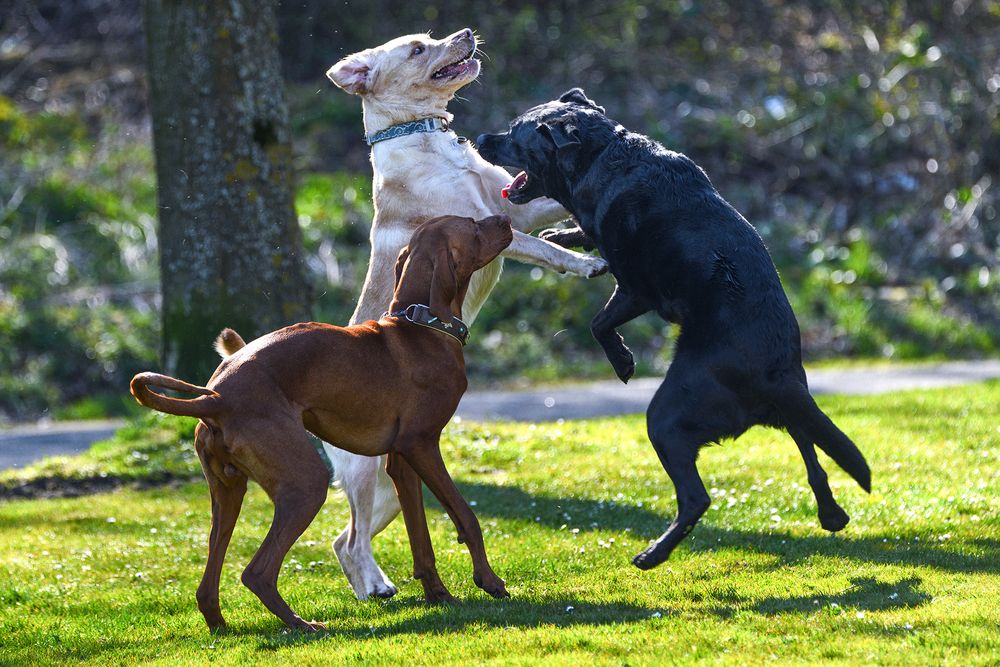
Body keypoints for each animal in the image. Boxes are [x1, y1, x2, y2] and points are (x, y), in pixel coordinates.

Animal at [129, 214, 512, 632]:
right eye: (473, 226)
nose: (506, 218)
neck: (422, 325)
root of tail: (215, 398)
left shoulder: (401, 462)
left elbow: (421, 540)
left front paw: (439, 595)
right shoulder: (421, 444)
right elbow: (467, 517)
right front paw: (490, 582)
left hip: (227, 494)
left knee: (207, 584)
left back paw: (222, 627)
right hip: (307, 484)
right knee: (256, 572)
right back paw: (301, 625)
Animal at [476, 88, 868, 568]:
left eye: (516, 133)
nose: (480, 138)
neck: (605, 156)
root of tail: (775, 377)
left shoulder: (636, 291)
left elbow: (598, 323)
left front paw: (623, 360)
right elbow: (581, 234)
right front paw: (564, 234)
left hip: (665, 417)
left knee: (698, 497)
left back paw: (653, 554)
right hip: (797, 408)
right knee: (814, 462)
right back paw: (831, 515)